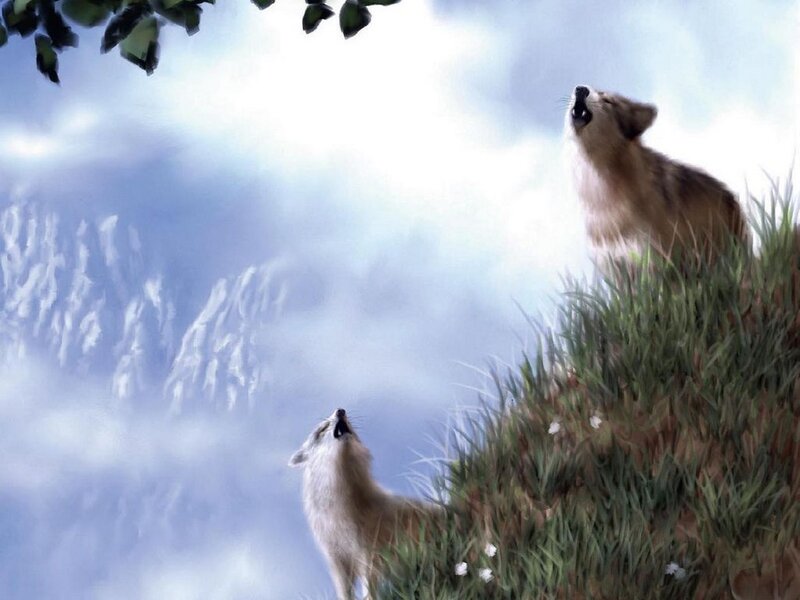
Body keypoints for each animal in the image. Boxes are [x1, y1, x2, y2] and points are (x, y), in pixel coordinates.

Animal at [289, 408, 439, 600]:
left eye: (352, 427)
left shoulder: (368, 553)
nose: (340, 410)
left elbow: (369, 590)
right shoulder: (337, 560)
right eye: (323, 429)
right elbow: (345, 593)